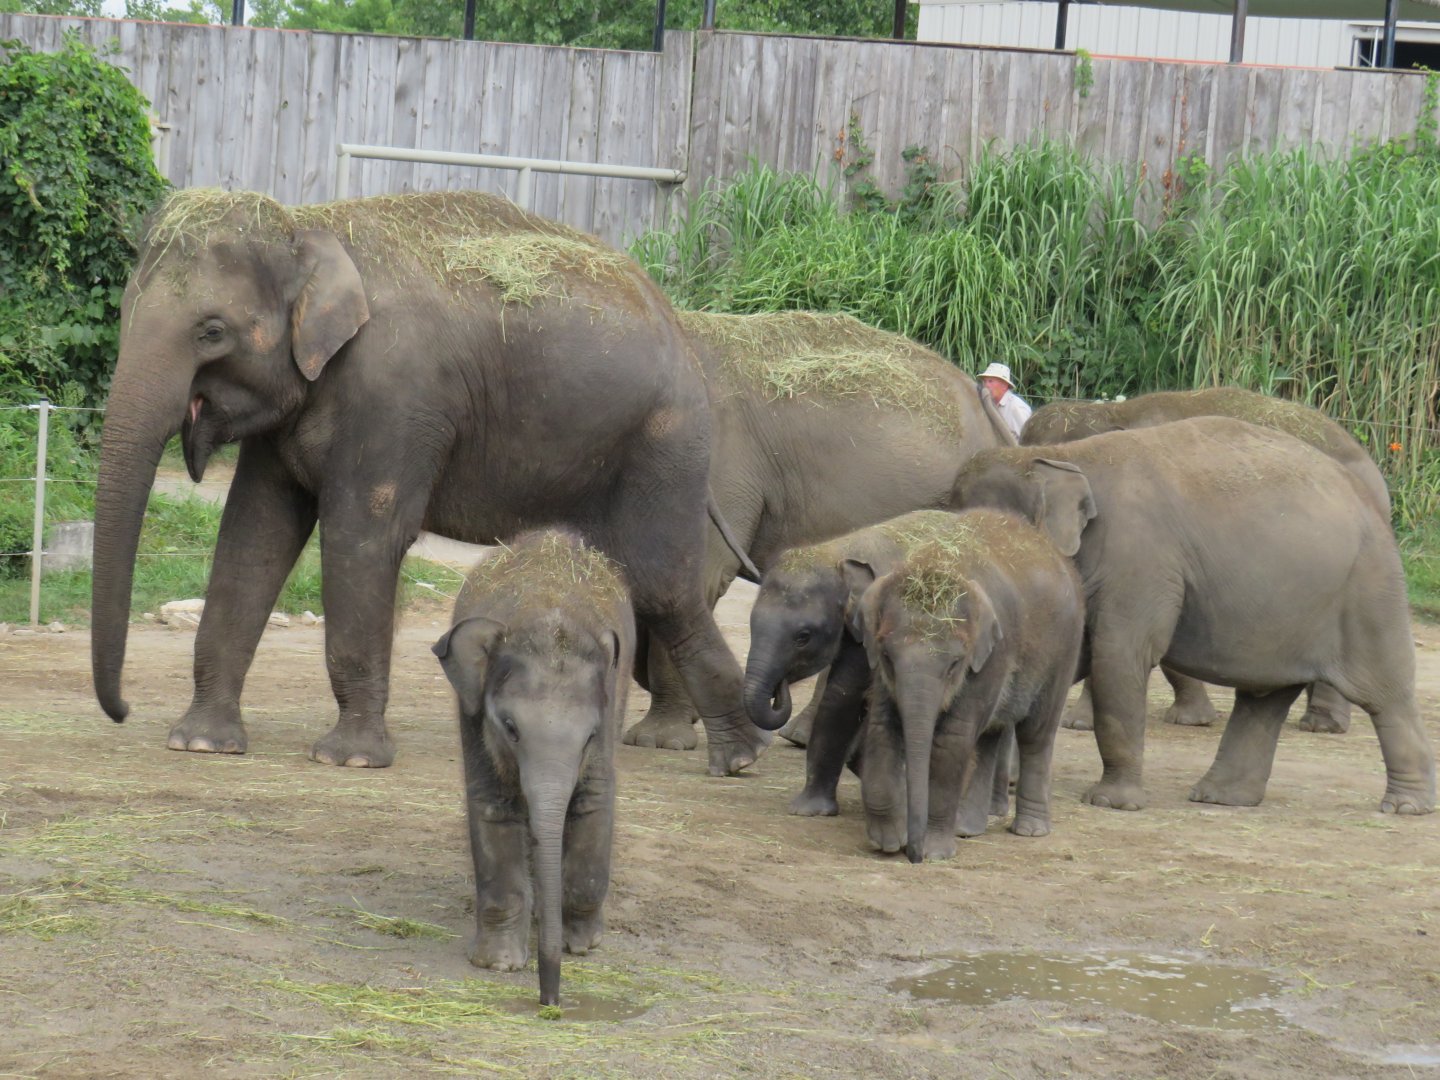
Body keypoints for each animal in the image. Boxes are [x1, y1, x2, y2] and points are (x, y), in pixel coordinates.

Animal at [90, 188, 766, 777]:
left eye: (211, 331)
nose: (120, 711)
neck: (310, 227)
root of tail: (679, 326)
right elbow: (253, 535)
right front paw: (201, 743)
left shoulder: (397, 395)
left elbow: (362, 538)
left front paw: (349, 760)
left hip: (665, 444)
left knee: (664, 587)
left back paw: (737, 759)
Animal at [432, 530, 631, 1007]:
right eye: (510, 728)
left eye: (590, 736)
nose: (550, 1003)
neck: (545, 613)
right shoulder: (472, 716)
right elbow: (493, 807)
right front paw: (498, 964)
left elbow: (593, 804)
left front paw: (583, 946)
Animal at [843, 508, 1085, 862]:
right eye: (886, 655)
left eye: (954, 664)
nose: (912, 855)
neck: (941, 560)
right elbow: (881, 726)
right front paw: (887, 842)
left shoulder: (993, 651)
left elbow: (952, 741)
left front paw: (934, 852)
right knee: (989, 737)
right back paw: (968, 829)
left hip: (1064, 650)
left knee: (1035, 734)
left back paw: (1030, 830)